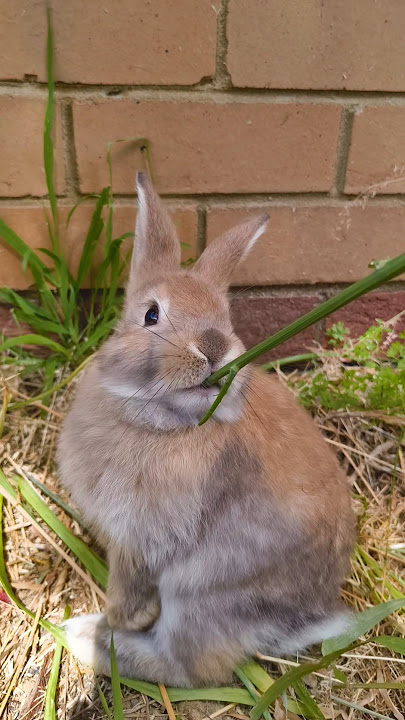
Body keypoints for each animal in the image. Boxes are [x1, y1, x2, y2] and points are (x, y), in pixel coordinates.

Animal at [58, 172, 355, 687]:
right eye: (151, 314)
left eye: (226, 319)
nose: (216, 347)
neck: (165, 422)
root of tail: (303, 618)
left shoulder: (140, 537)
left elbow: (128, 590)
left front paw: (117, 619)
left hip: (201, 593)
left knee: (188, 667)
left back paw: (86, 637)